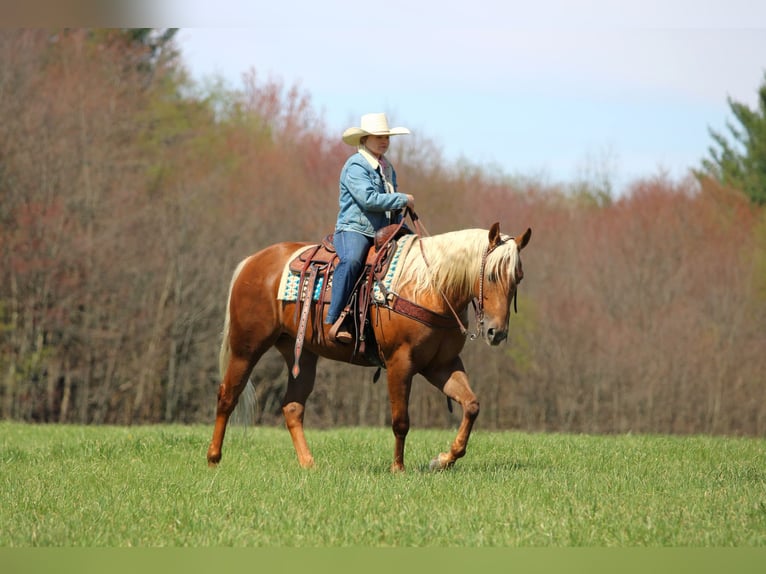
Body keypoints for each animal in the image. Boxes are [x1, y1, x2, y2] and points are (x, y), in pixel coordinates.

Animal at [206, 221, 531, 472]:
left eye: (518, 277)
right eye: (491, 274)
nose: (496, 332)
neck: (430, 287)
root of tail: (252, 261)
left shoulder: (441, 365)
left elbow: (471, 405)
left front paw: (443, 460)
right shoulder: (401, 362)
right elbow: (401, 420)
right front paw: (398, 468)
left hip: (302, 354)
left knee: (292, 407)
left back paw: (309, 464)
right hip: (246, 346)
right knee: (227, 396)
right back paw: (213, 458)